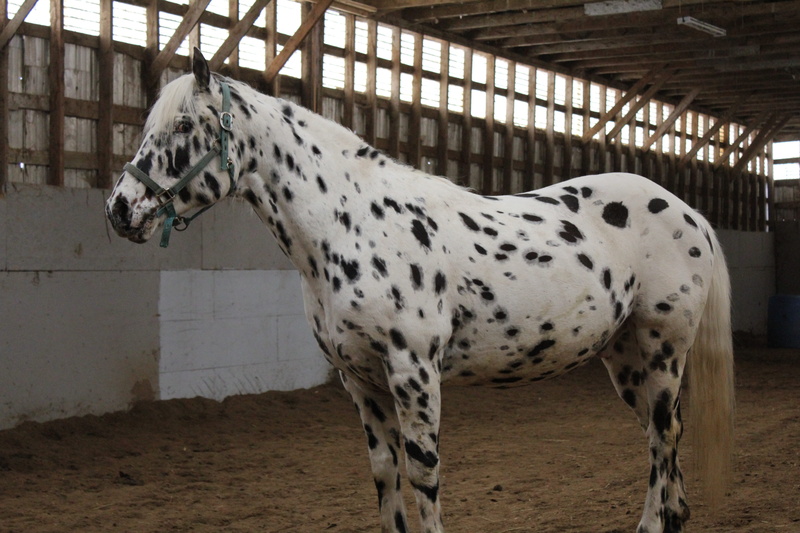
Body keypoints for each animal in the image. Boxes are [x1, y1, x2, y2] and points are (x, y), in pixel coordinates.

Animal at [106, 48, 734, 533]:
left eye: (183, 127)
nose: (119, 209)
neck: (352, 222)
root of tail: (689, 213)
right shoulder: (361, 382)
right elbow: (385, 474)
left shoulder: (414, 372)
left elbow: (423, 471)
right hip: (624, 359)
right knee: (662, 435)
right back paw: (676, 515)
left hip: (662, 350)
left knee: (662, 434)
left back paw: (653, 522)